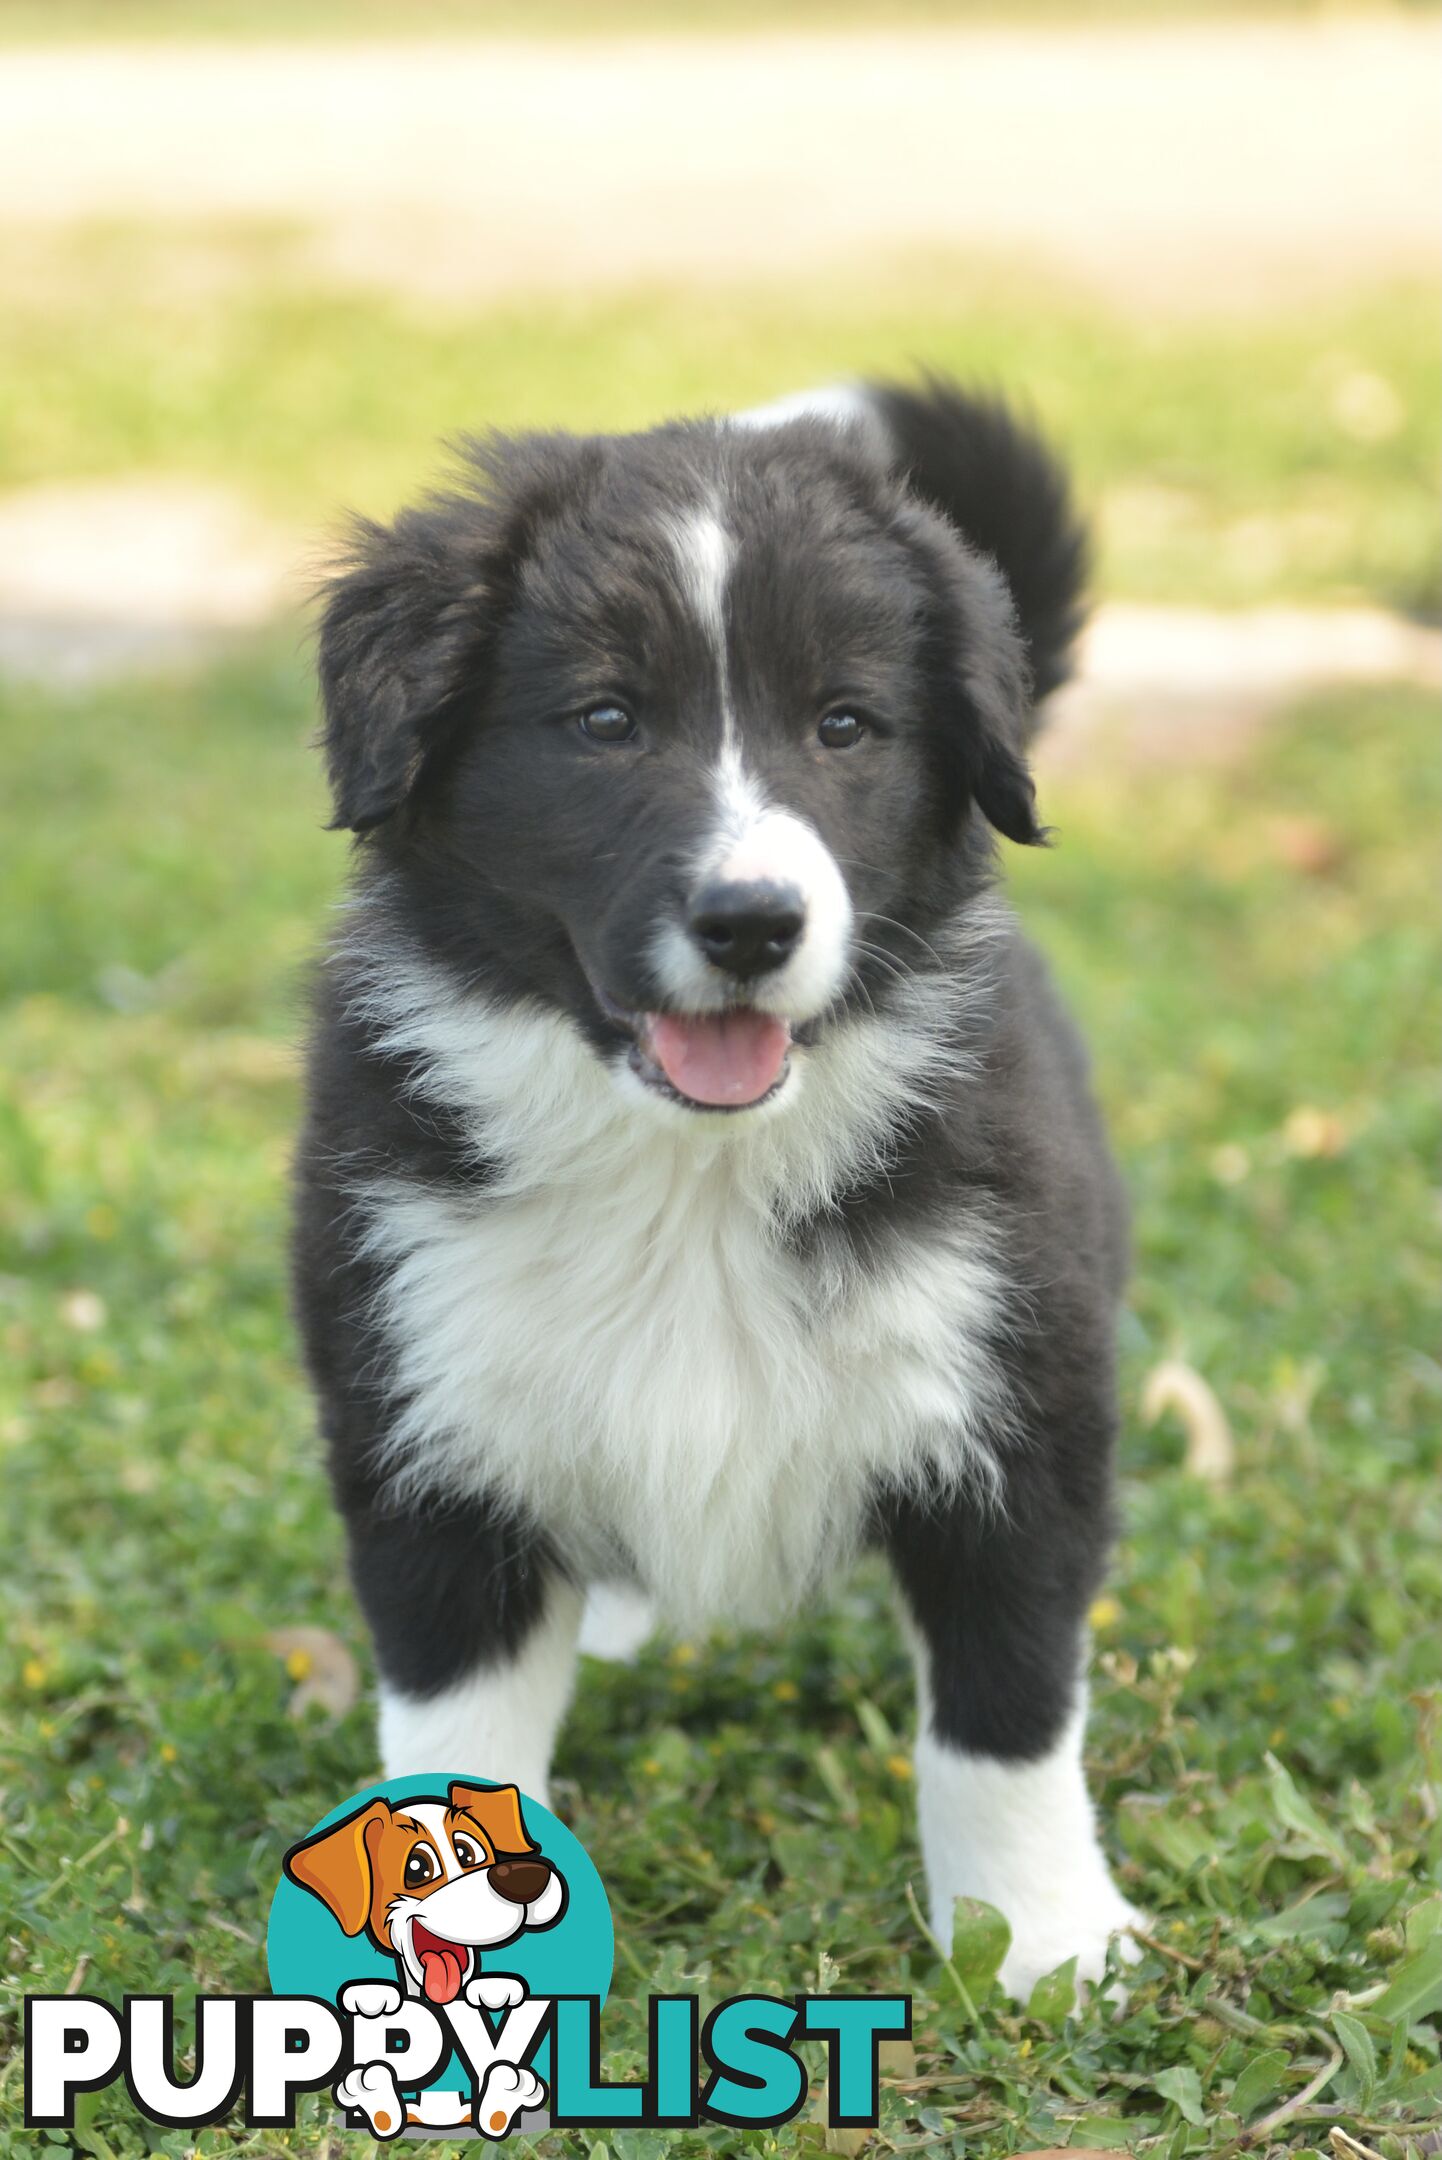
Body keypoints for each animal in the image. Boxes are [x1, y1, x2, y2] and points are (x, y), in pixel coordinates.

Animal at [293, 380, 1139, 1995]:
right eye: (605, 721)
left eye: (845, 724)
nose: (751, 922)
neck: (689, 1172)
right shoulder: (421, 1416)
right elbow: (454, 1722)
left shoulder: (1015, 1401)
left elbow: (1004, 1717)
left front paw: (1041, 1944)